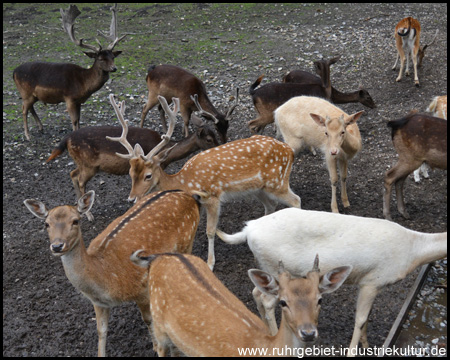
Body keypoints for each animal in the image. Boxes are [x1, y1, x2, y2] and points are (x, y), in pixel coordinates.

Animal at [12, 3, 125, 141]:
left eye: (113, 57)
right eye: (101, 58)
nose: (114, 68)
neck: (83, 83)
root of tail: (13, 72)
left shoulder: (79, 101)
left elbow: (79, 119)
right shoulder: (69, 98)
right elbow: (74, 121)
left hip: (32, 95)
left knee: (30, 107)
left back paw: (40, 127)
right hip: (25, 92)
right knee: (23, 109)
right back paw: (28, 135)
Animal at [23, 188, 200, 358]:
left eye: (75, 221)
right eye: (46, 224)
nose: (57, 246)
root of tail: (187, 194)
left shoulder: (141, 289)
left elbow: (148, 320)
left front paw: (155, 347)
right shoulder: (98, 302)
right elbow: (101, 331)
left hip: (188, 240)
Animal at [45, 98, 218, 222]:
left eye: (215, 133)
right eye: (209, 139)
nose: (220, 144)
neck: (168, 152)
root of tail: (65, 139)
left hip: (82, 163)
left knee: (72, 174)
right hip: (89, 165)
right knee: (80, 180)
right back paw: (89, 215)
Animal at [108, 95, 300, 270]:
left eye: (148, 175)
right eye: (130, 173)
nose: (131, 198)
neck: (186, 182)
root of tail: (289, 151)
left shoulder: (213, 196)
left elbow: (210, 231)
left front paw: (210, 263)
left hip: (278, 181)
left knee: (296, 200)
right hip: (259, 188)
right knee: (271, 205)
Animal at [130, 253, 352, 358]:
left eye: (320, 299)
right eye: (283, 302)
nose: (308, 332)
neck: (263, 347)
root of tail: (157, 257)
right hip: (158, 325)